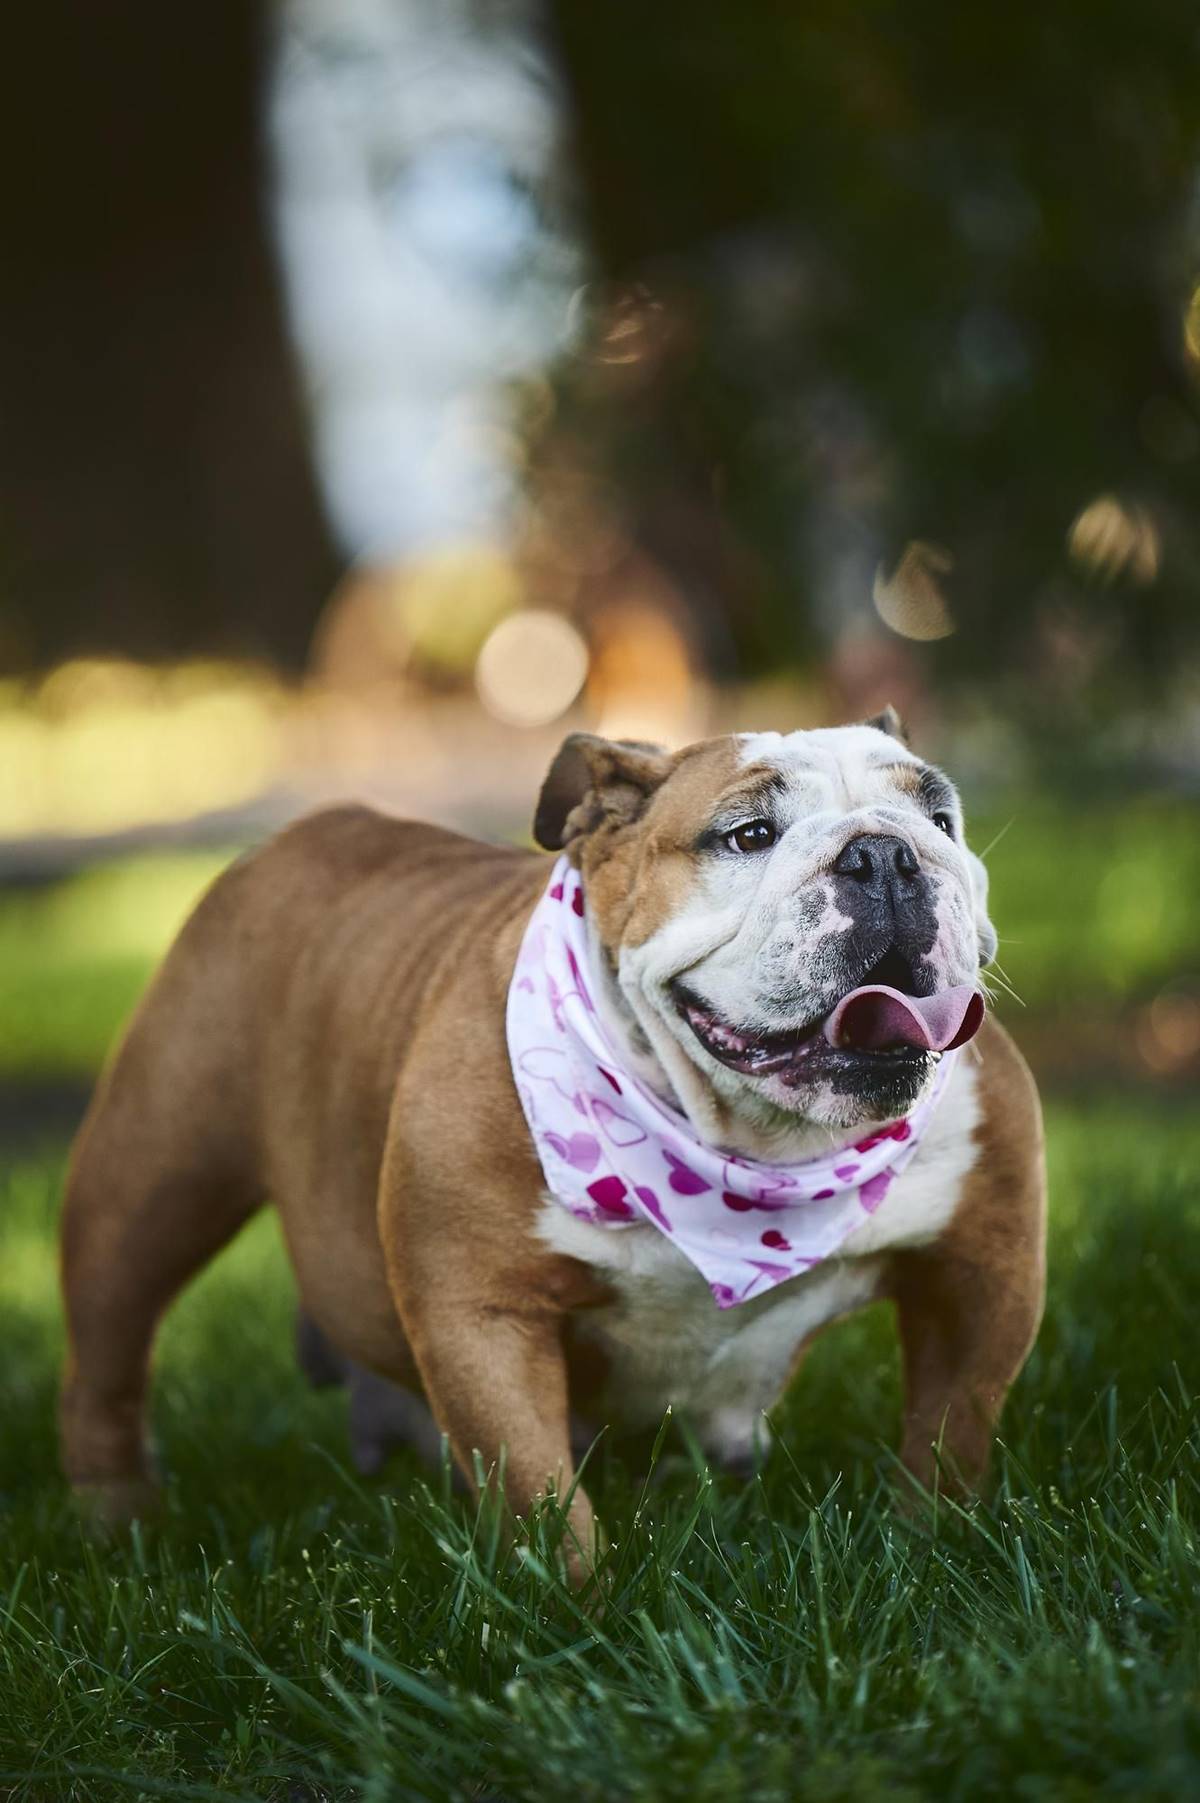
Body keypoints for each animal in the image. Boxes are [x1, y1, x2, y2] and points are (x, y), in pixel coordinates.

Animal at [60, 713, 1045, 1565]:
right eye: (749, 834)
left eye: (941, 819)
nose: (886, 853)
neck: (757, 1155)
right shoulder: (482, 1308)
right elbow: (535, 1484)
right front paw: (580, 1611)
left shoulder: (985, 1266)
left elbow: (952, 1423)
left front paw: (933, 1541)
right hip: (151, 1184)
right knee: (108, 1352)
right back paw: (119, 1521)